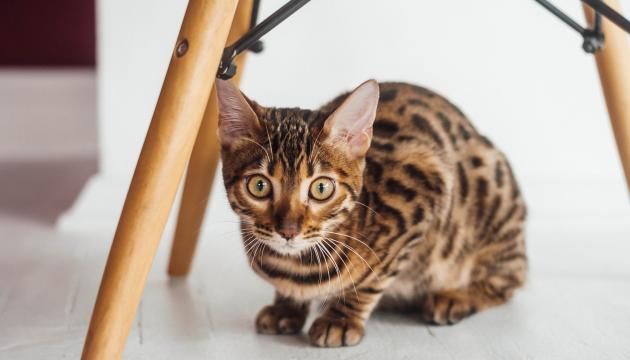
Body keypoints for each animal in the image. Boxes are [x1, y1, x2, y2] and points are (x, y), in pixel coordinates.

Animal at [217, 79, 528, 346]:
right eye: (259, 186)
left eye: (321, 188)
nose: (288, 231)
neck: (295, 266)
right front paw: (286, 307)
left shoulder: (430, 184)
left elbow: (373, 278)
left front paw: (341, 319)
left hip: (492, 191)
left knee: (510, 278)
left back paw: (455, 297)